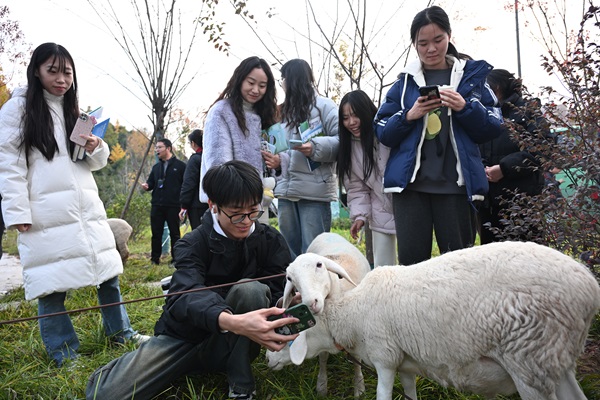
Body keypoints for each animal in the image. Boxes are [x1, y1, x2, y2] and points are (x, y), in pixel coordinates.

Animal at [266, 232, 371, 398]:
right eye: (289, 278)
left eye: (319, 265)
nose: (310, 304)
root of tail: (326, 233)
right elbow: (323, 357)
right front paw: (321, 385)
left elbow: (356, 360)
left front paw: (359, 387)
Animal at [282, 241, 600, 400]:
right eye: (290, 278)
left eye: (319, 265)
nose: (311, 303)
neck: (352, 310)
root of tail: (588, 287)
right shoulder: (405, 363)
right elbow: (410, 394)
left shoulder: (385, 358)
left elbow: (383, 394)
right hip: (553, 361)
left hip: (528, 362)